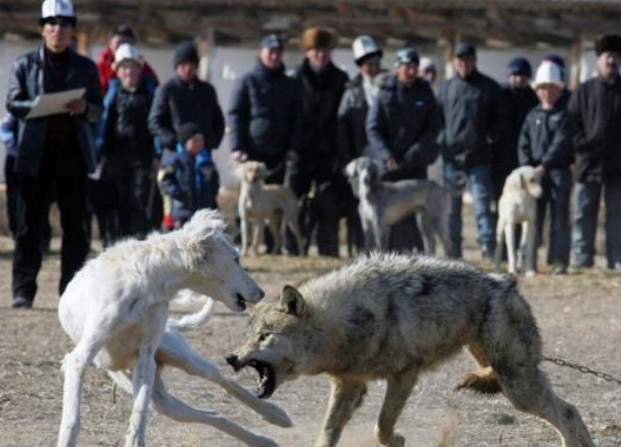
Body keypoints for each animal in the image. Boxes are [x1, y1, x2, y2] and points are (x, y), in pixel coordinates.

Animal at [58, 210, 290, 447]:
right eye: (235, 259)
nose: (261, 293)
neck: (146, 280)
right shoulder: (79, 359)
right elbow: (73, 419)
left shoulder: (145, 358)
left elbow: (139, 412)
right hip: (159, 399)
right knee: (211, 414)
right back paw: (262, 440)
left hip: (181, 358)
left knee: (218, 377)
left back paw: (276, 415)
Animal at [229, 254, 596, 446]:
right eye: (248, 338)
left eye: (264, 337)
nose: (231, 358)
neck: (344, 321)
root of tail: (506, 281)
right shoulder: (349, 385)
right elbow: (327, 434)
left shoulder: (404, 374)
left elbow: (382, 427)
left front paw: (398, 439)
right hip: (490, 363)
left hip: (518, 387)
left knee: (568, 413)